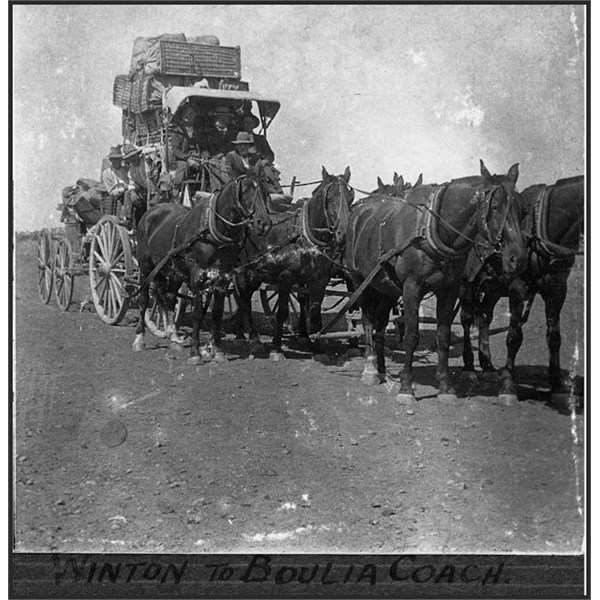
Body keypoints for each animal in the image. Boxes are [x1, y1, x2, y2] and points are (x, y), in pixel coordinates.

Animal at [134, 169, 272, 366]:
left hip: (173, 271)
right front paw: (195, 353)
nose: (264, 223)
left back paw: (173, 337)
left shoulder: (223, 278)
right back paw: (139, 339)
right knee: (144, 299)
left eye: (265, 191)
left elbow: (217, 313)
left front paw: (217, 350)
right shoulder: (197, 276)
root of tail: (150, 211)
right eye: (245, 190)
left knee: (168, 298)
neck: (212, 232)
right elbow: (198, 314)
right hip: (146, 267)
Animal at [344, 159, 528, 404]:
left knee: (380, 325)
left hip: (386, 288)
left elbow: (443, 336)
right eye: (495, 207)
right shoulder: (411, 288)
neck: (432, 229)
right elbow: (411, 336)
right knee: (367, 321)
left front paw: (445, 387)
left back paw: (382, 371)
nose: (518, 258)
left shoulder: (449, 289)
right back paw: (371, 370)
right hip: (360, 282)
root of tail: (358, 213)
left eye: (521, 209)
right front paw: (406, 388)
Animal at [458, 175, 584, 404]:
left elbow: (554, 337)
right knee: (467, 319)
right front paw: (508, 385)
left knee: (484, 317)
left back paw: (488, 367)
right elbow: (514, 337)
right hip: (465, 285)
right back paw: (469, 367)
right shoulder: (518, 289)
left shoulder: (558, 290)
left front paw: (557, 386)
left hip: (493, 288)